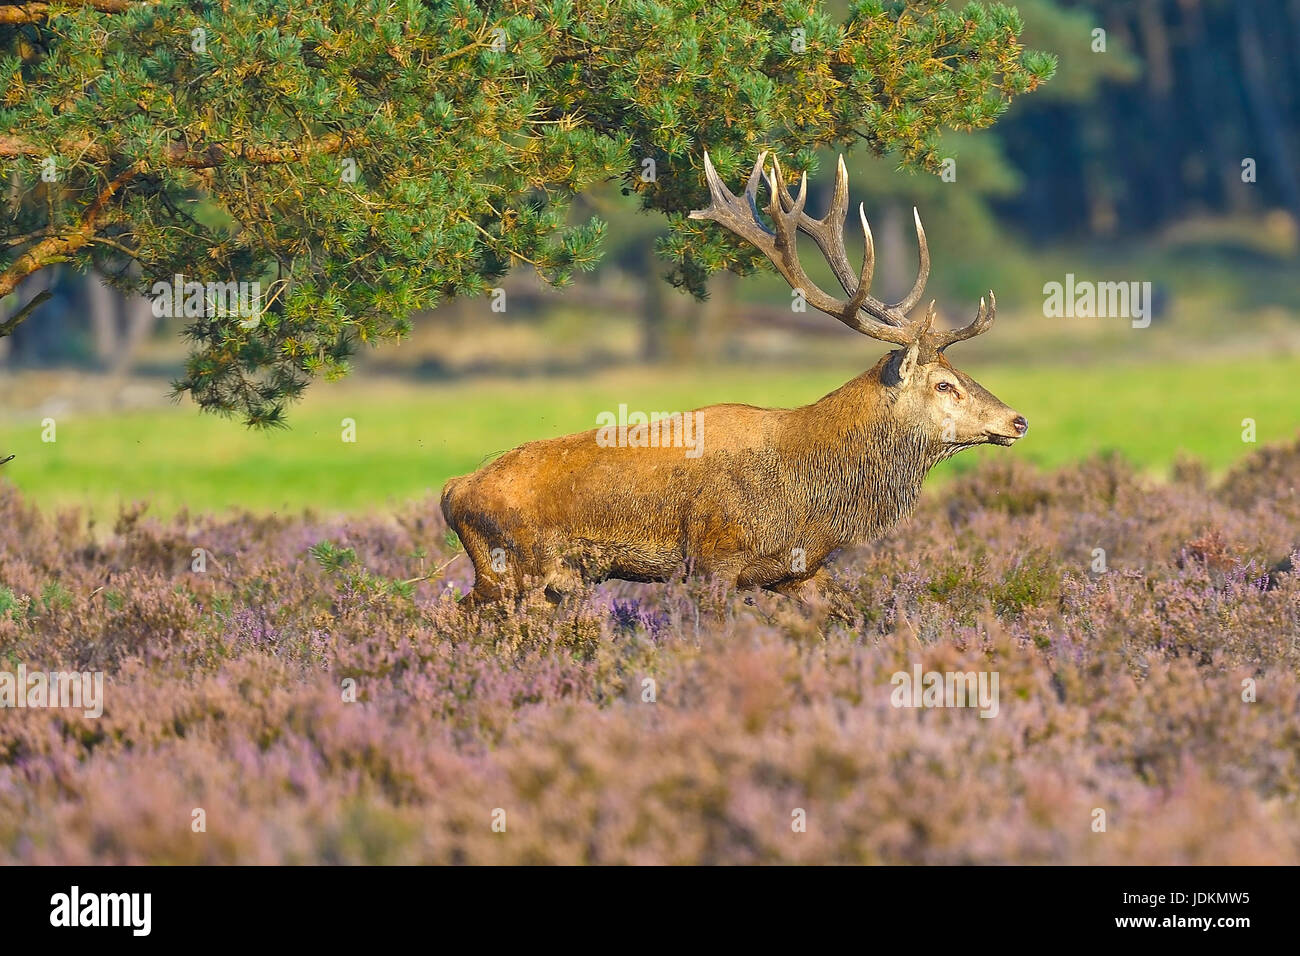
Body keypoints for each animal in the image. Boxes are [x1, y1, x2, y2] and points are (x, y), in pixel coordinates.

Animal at [441, 152, 1029, 616]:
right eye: (945, 384)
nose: (1017, 420)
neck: (812, 499)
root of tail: (452, 491)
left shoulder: (797, 571)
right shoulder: (713, 559)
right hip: (510, 569)